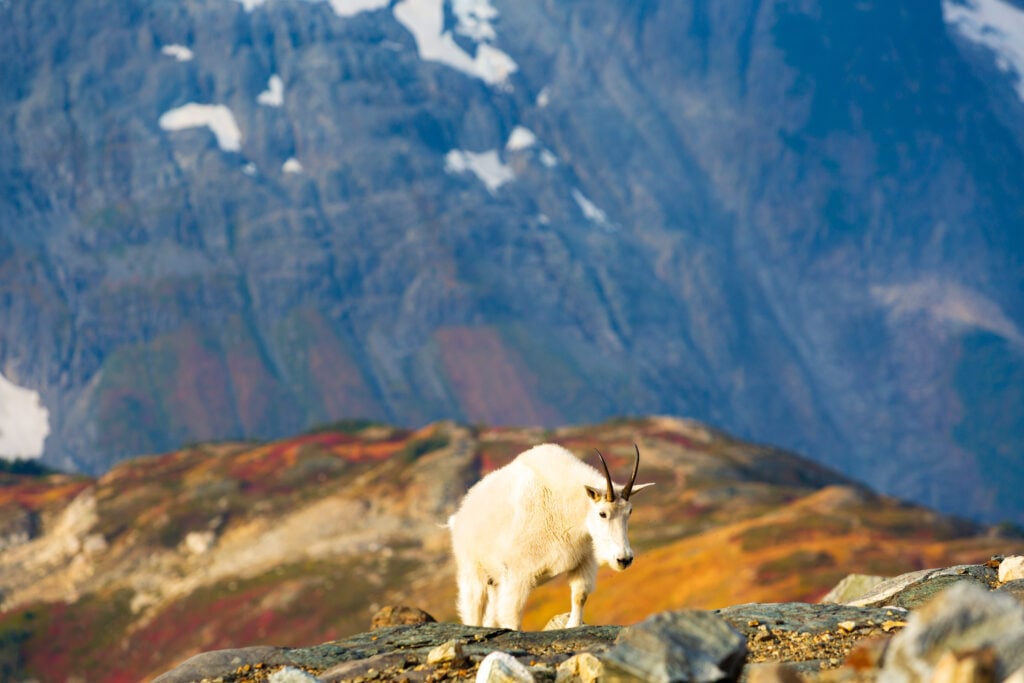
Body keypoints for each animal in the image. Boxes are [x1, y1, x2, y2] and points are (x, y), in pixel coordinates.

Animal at [447, 443, 653, 629]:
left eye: (630, 511)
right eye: (602, 513)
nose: (624, 559)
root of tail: (459, 514)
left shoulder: (584, 560)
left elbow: (579, 596)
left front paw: (572, 625)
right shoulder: (517, 573)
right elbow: (512, 615)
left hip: (494, 579)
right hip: (472, 570)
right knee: (473, 608)